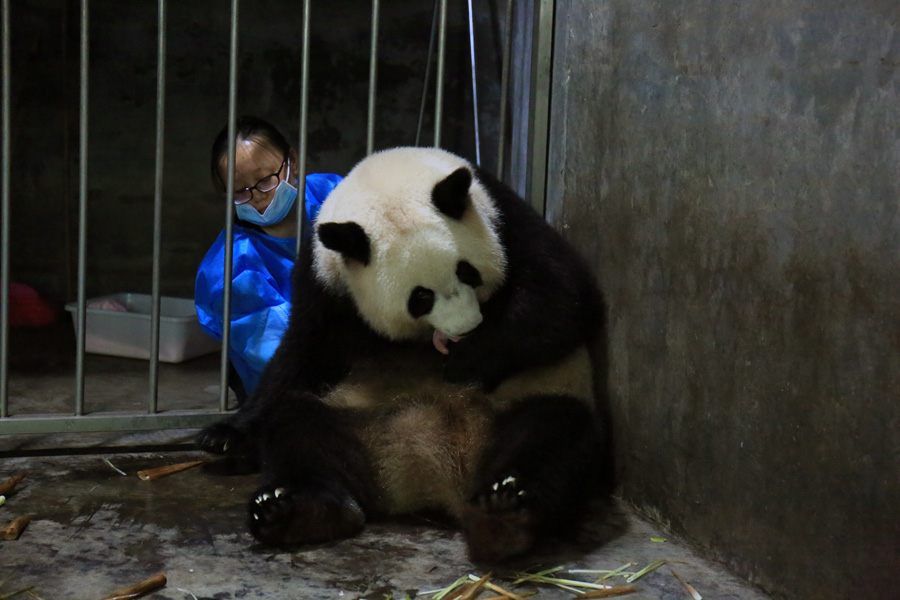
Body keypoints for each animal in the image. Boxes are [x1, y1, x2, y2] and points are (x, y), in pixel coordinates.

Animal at [197, 147, 608, 563]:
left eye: (467, 272)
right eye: (420, 297)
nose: (466, 327)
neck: (391, 176)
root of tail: (429, 474)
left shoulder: (504, 216)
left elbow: (559, 298)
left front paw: (465, 360)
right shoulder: (326, 275)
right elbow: (302, 352)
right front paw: (225, 436)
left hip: (516, 406)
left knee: (550, 432)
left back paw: (505, 512)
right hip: (356, 417)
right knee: (300, 427)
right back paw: (297, 511)